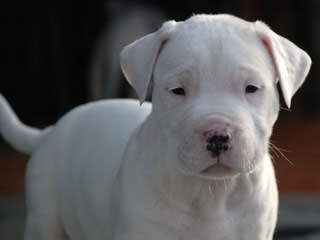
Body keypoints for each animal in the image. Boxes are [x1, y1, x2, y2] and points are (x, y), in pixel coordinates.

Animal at [0, 14, 310, 239]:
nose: (218, 136)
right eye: (177, 91)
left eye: (252, 88)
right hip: (44, 217)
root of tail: (49, 132)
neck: (209, 192)